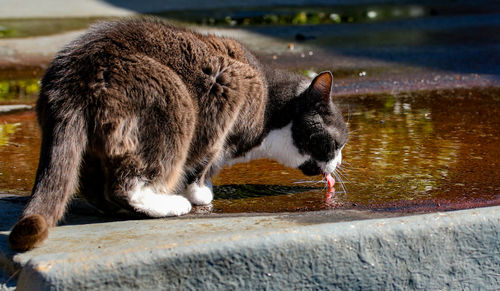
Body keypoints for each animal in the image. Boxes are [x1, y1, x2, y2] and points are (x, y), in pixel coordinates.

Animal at [9, 17, 350, 251]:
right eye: (337, 142)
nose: (339, 163)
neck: (269, 105)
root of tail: (72, 76)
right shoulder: (228, 99)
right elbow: (207, 160)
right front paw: (199, 193)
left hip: (96, 147)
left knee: (98, 188)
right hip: (173, 102)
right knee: (127, 184)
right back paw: (169, 204)